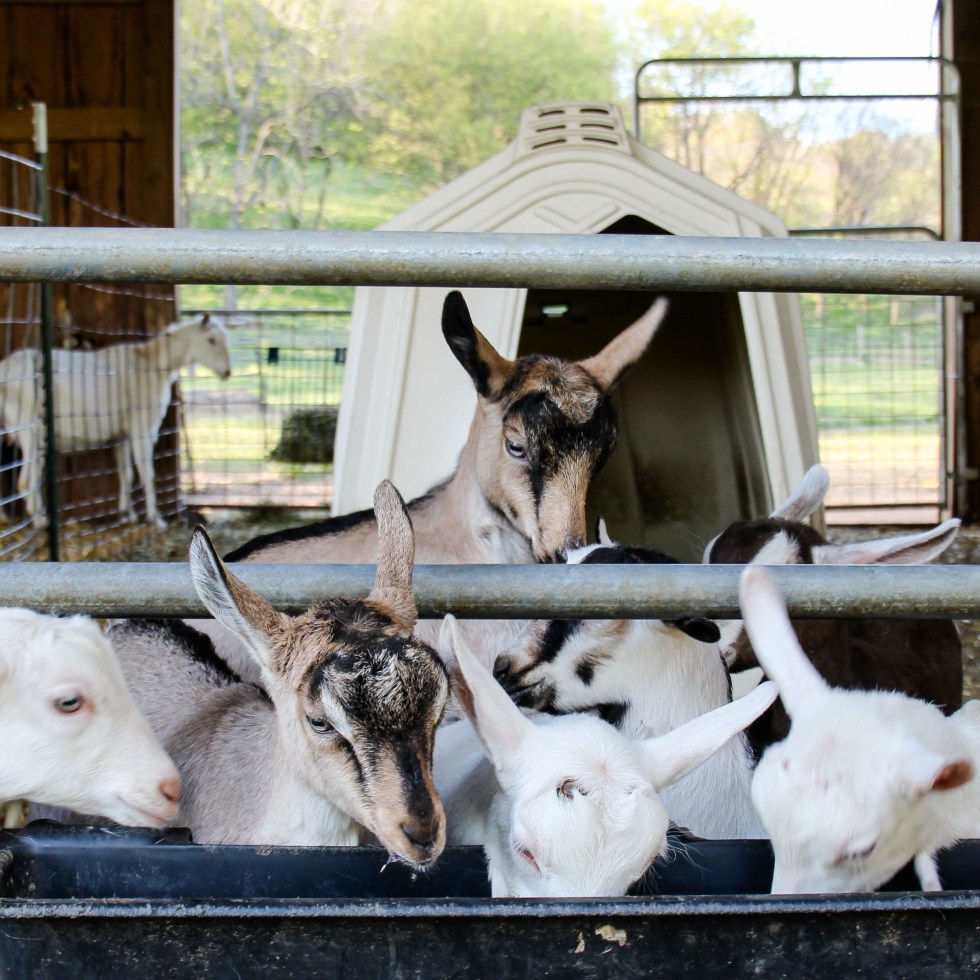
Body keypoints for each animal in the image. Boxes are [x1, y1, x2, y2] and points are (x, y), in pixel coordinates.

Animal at [0, 315, 232, 529]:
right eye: (211, 339)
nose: (228, 372)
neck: (150, 364)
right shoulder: (142, 429)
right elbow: (146, 473)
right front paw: (156, 519)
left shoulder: (122, 436)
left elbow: (126, 474)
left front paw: (127, 515)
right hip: (30, 432)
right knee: (26, 480)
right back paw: (40, 521)